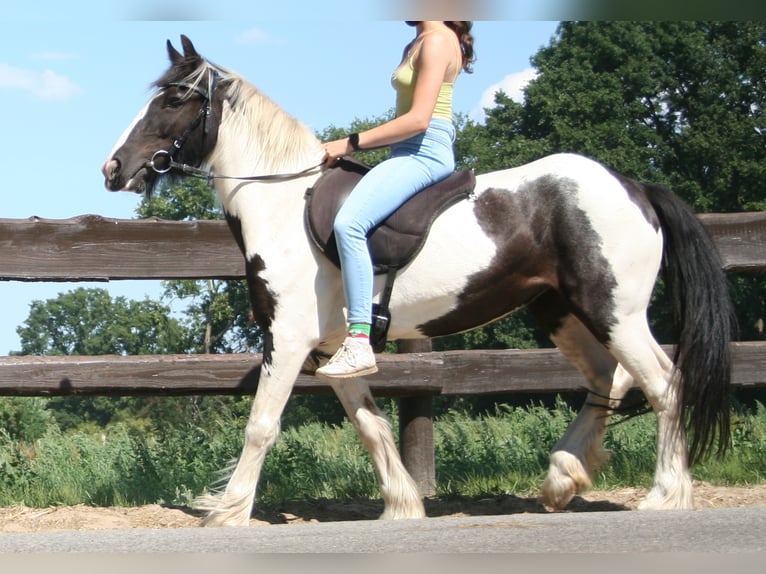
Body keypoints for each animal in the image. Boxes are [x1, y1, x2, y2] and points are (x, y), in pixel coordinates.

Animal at [102, 36, 736, 528]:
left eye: (175, 98)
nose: (113, 168)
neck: (283, 204)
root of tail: (635, 186)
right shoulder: (330, 351)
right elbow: (371, 425)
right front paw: (402, 505)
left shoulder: (287, 339)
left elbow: (262, 424)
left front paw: (227, 510)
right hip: (559, 310)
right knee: (609, 378)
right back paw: (563, 478)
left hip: (613, 311)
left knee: (663, 383)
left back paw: (665, 495)